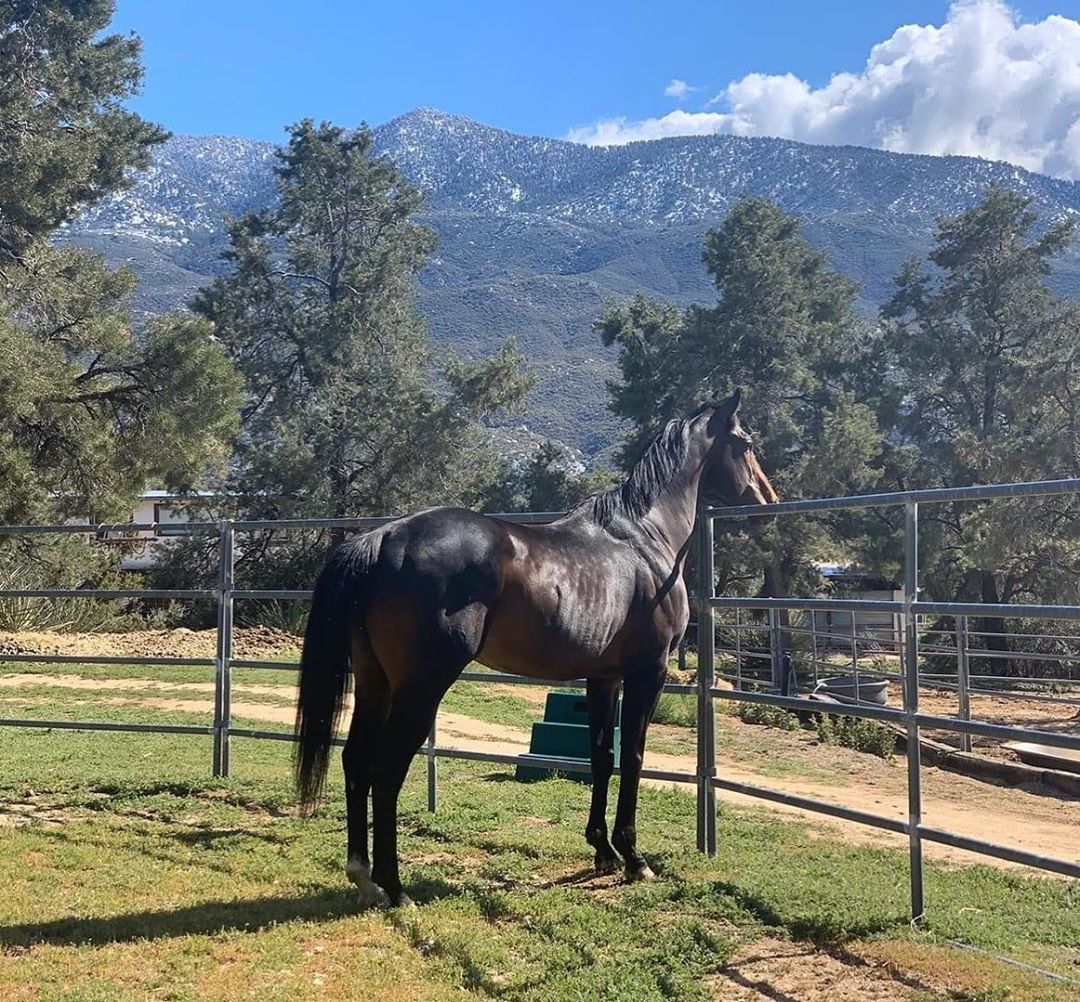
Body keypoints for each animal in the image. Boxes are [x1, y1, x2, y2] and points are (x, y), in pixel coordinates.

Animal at [293, 391, 777, 906]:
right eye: (746, 443)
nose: (768, 502)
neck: (644, 539)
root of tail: (382, 537)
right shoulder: (649, 672)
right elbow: (633, 758)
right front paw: (634, 859)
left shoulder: (603, 677)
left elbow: (601, 757)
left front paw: (602, 852)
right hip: (419, 688)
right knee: (386, 771)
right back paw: (396, 887)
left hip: (375, 683)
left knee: (356, 761)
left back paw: (363, 875)